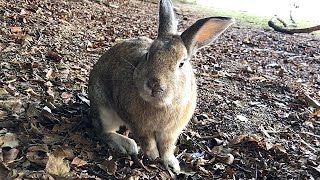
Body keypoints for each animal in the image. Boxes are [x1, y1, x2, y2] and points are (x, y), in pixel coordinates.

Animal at [89, 0, 234, 173]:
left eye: (181, 64)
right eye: (147, 55)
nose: (154, 84)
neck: (161, 104)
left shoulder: (170, 132)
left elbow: (167, 147)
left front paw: (172, 165)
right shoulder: (140, 127)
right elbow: (148, 143)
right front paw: (153, 157)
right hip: (104, 110)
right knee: (102, 131)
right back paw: (127, 145)